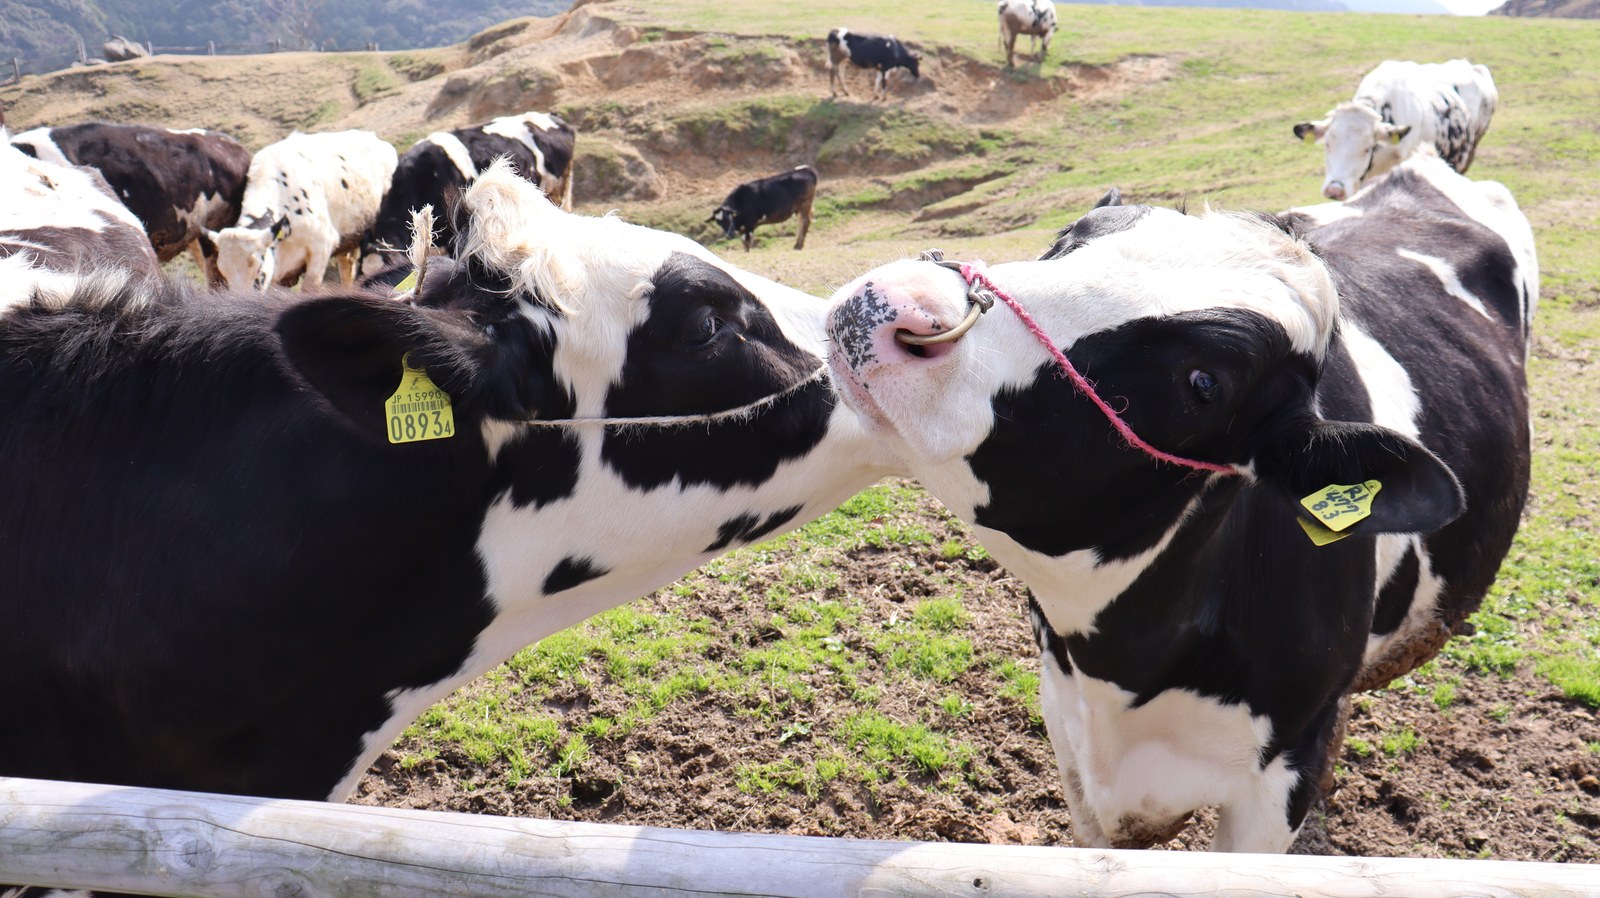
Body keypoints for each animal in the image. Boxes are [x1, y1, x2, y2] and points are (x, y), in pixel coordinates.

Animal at [823, 153, 1537, 853]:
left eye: (1204, 382)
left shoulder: (1280, 779)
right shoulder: (1066, 726)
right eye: (1068, 238)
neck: (1121, 667)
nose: (900, 299)